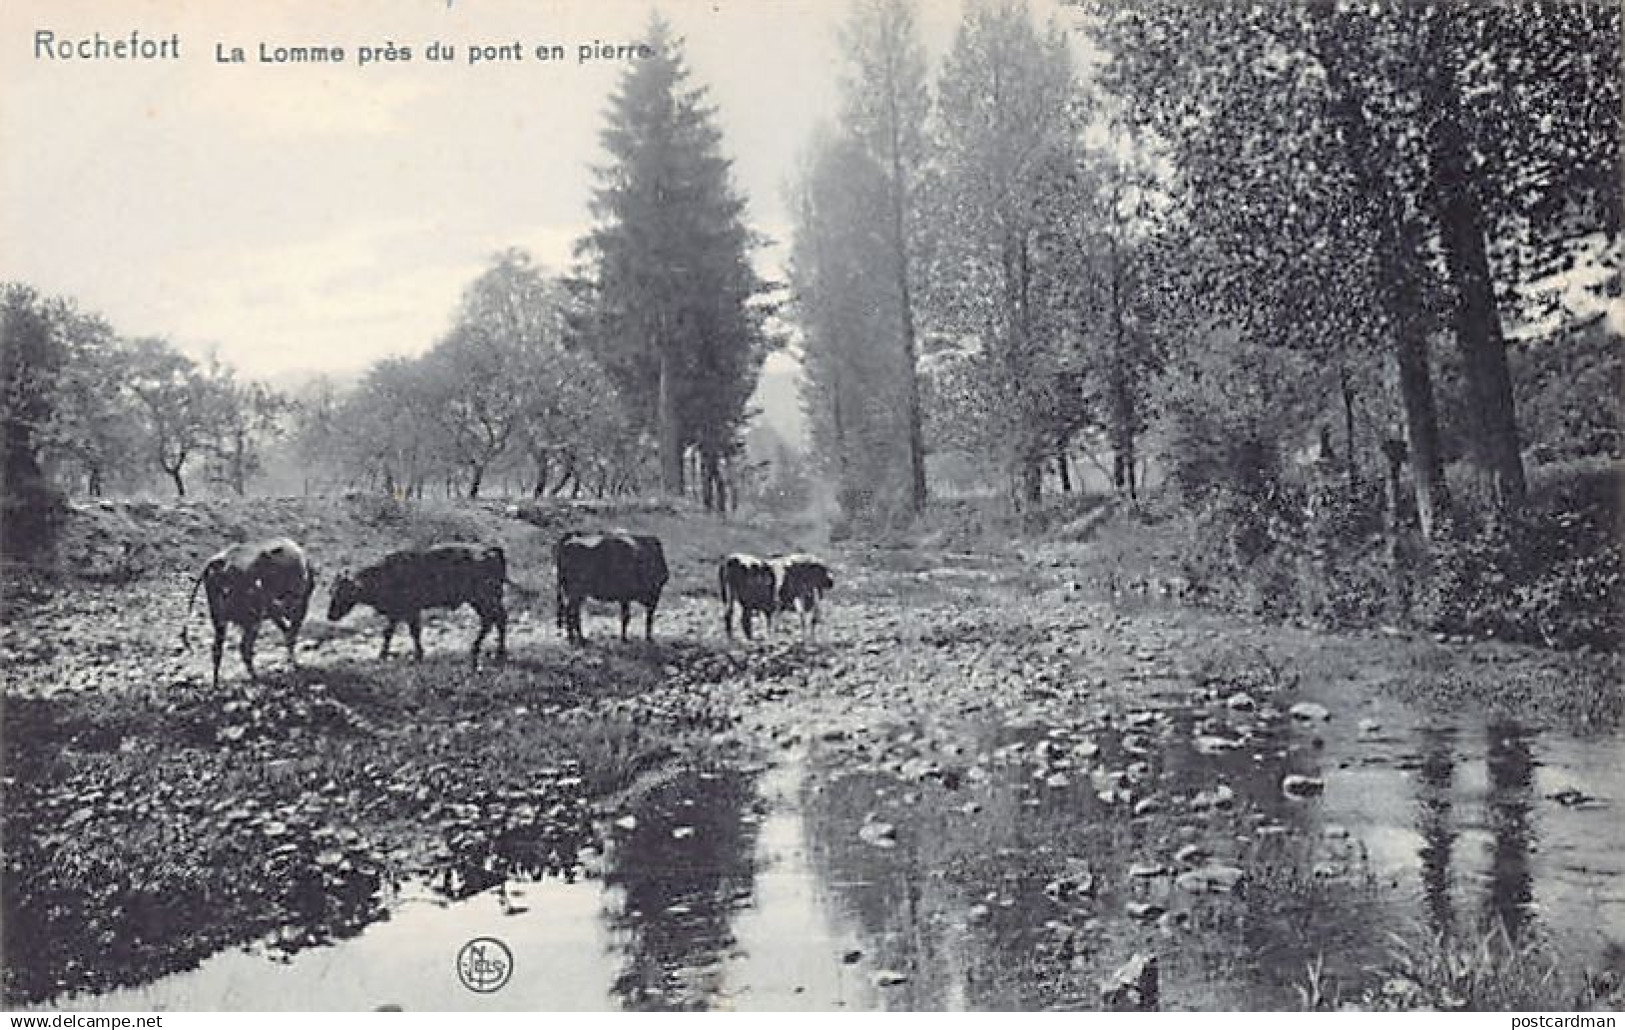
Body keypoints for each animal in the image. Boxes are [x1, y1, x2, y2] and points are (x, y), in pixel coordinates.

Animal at [184, 532, 316, 685]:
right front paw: (294, 665)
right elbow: (290, 636)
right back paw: (256, 677)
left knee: (217, 650)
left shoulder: (276, 612)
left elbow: (286, 632)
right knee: (244, 648)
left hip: (220, 620)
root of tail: (221, 561)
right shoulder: (299, 608)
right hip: (252, 621)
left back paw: (216, 683)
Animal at [325, 536, 507, 666]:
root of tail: (489, 551)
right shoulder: (395, 613)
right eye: (331, 591)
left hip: (485, 599)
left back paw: (497, 653)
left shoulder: (411, 611)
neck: (386, 573)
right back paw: (480, 649)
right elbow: (388, 632)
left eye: (344, 593)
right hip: (478, 601)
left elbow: (414, 632)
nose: (330, 615)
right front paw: (382, 655)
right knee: (491, 621)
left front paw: (418, 655)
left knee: (498, 619)